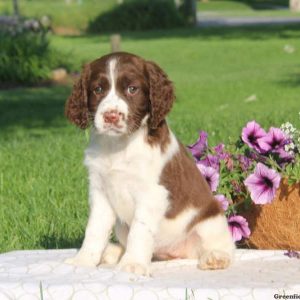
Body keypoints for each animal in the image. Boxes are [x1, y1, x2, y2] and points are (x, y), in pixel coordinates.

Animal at [64, 51, 236, 274]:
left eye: (132, 89)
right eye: (98, 89)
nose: (111, 116)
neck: (119, 145)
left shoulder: (152, 194)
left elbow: (140, 229)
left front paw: (133, 264)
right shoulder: (100, 191)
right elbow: (94, 229)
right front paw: (83, 261)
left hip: (211, 218)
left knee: (223, 245)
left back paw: (215, 257)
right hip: (121, 226)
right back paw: (113, 253)